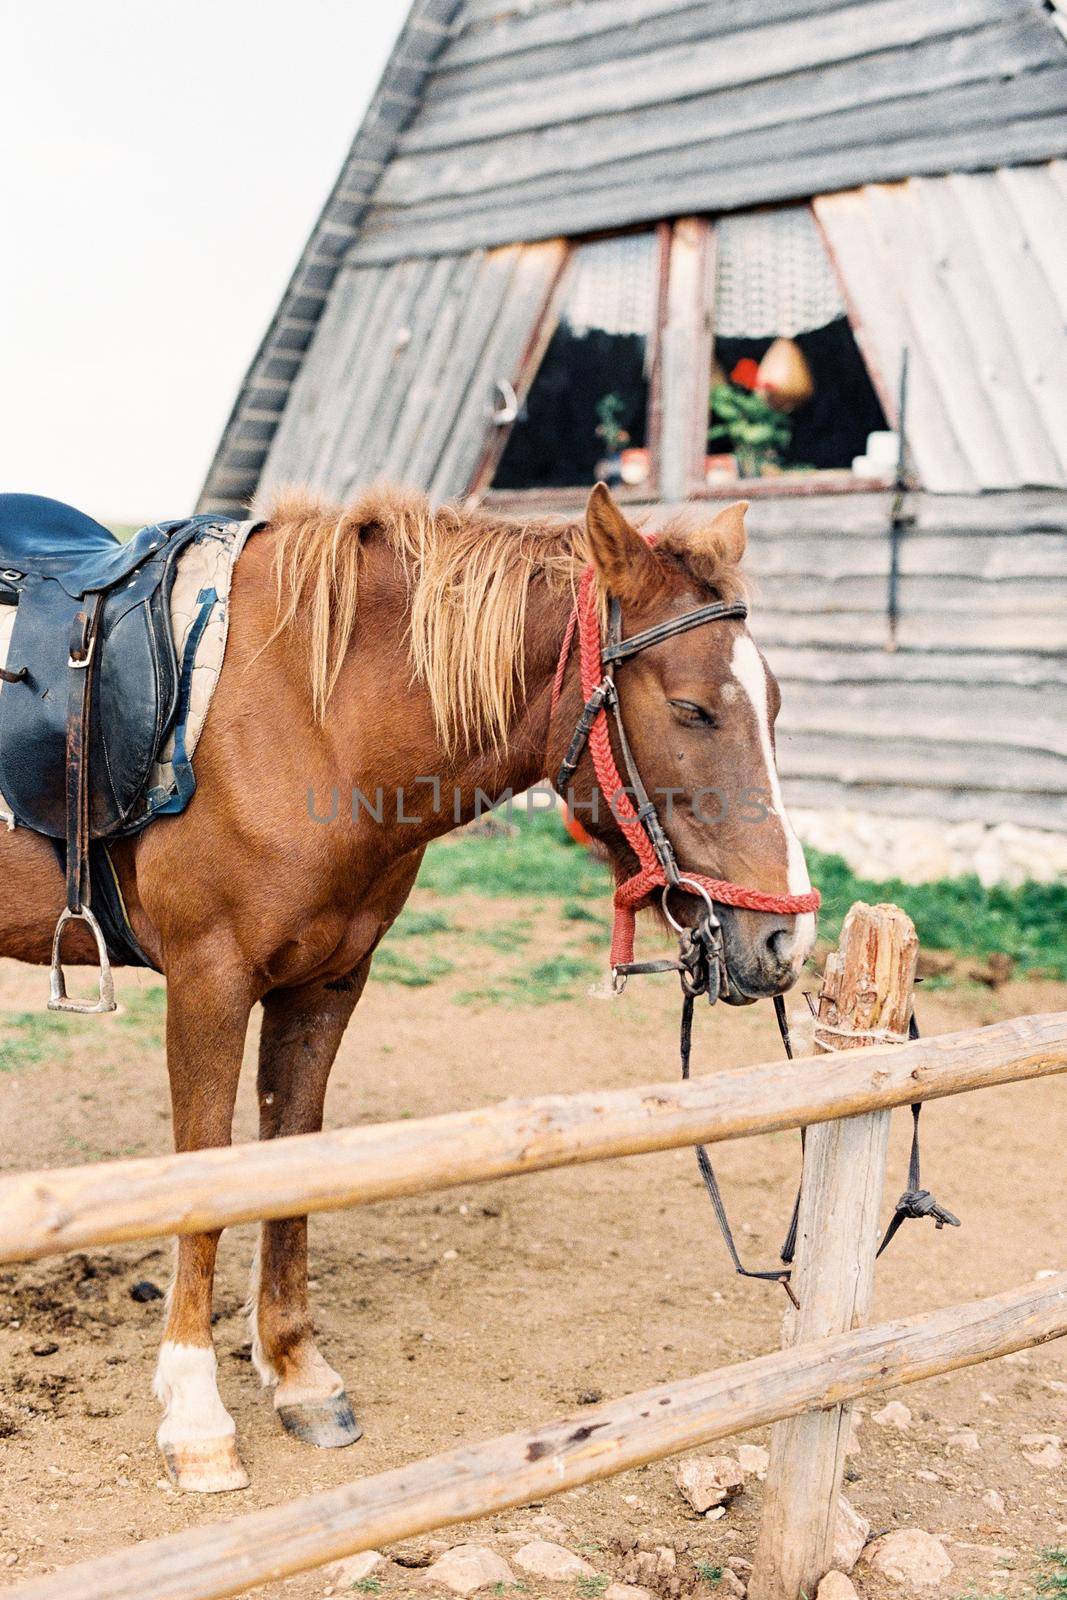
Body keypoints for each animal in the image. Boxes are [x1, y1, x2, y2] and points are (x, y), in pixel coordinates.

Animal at [2, 480, 819, 1491]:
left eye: (773, 705)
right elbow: (205, 1179)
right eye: (691, 709)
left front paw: (298, 1374)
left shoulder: (326, 985)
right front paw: (196, 1416)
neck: (305, 718)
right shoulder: (208, 982)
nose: (784, 937)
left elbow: (291, 1163)